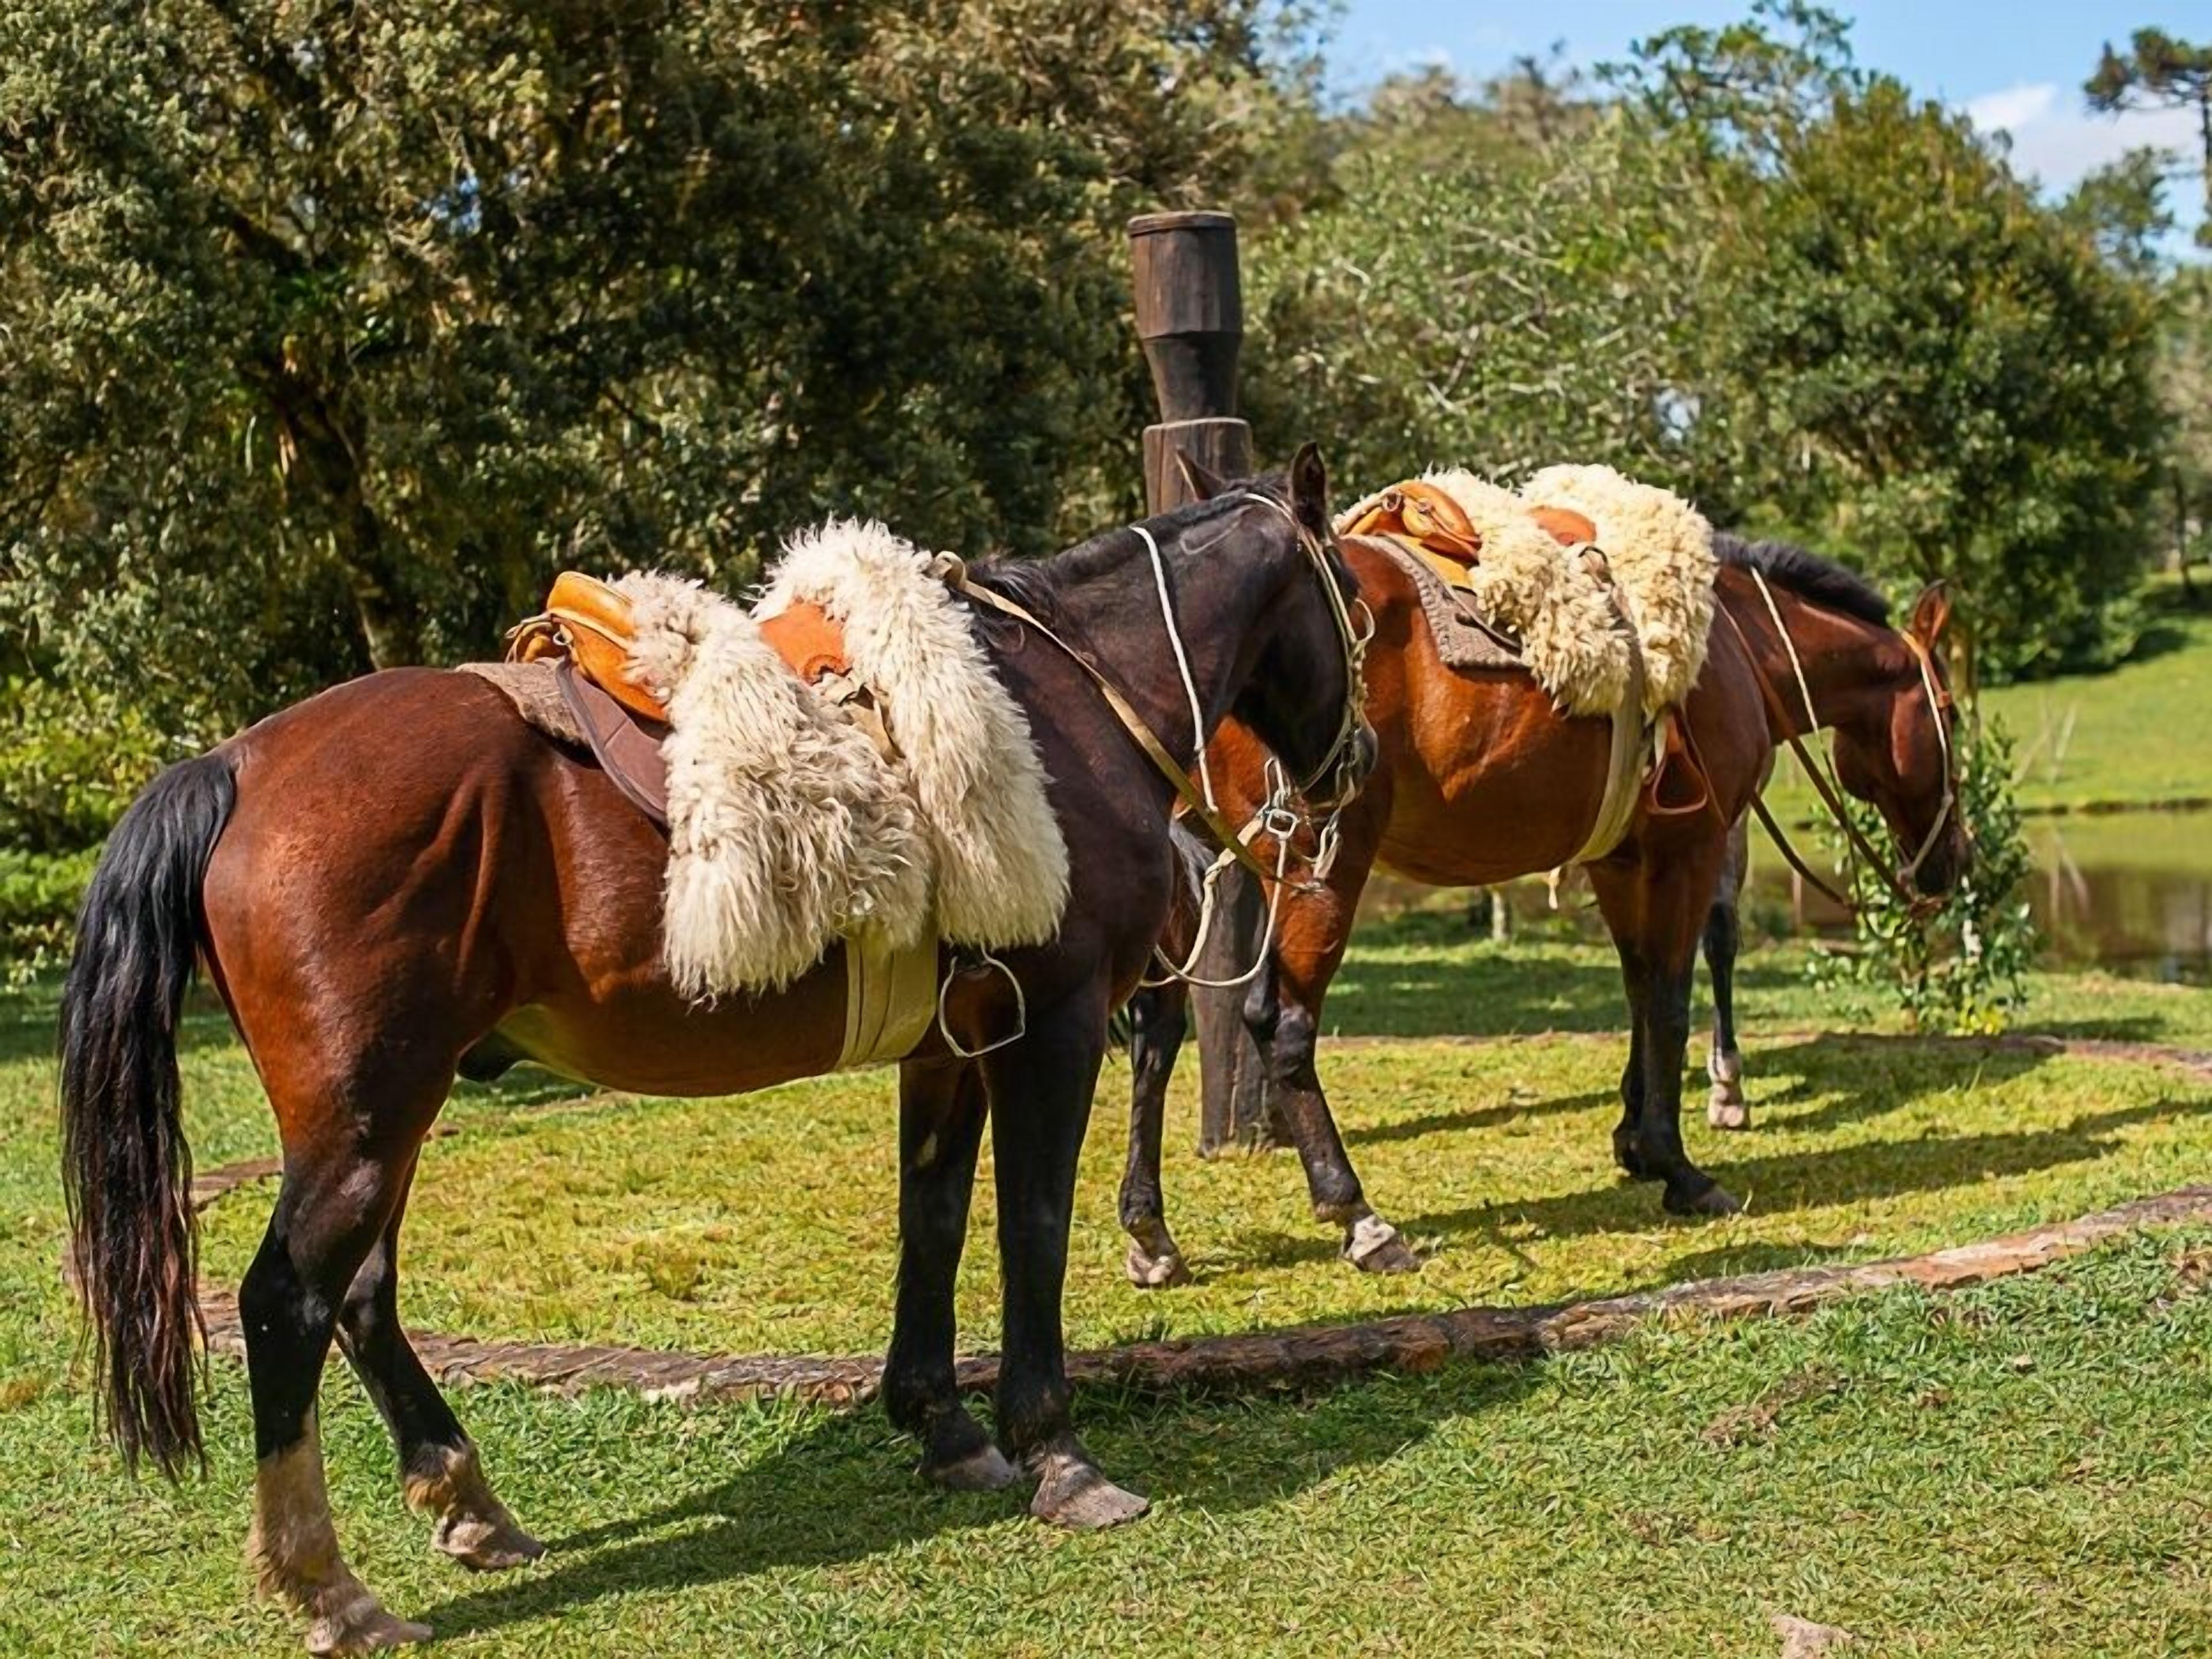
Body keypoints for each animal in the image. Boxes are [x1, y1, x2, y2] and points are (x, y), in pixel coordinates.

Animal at [58, 448, 1372, 1655]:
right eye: (1357, 598)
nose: (1355, 766)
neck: (1068, 704)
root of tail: (233, 766)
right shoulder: (1052, 1027)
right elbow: (1032, 1232)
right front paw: (1055, 1453)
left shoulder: (951, 1044)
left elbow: (934, 1220)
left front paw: (943, 1428)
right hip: (367, 1115)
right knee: (287, 1303)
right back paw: (329, 1586)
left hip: (389, 1111)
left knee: (362, 1295)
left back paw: (468, 1502)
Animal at [1118, 508, 1965, 1286]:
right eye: (1951, 712)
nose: (1951, 864)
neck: (1736, 647)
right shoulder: (1687, 852)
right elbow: (1670, 1001)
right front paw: (1679, 1167)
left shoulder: (1622, 859)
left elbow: (1638, 990)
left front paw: (1634, 1141)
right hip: (1319, 862)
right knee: (1281, 1024)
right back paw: (1358, 1215)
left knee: (1157, 1030)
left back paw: (1152, 1234)